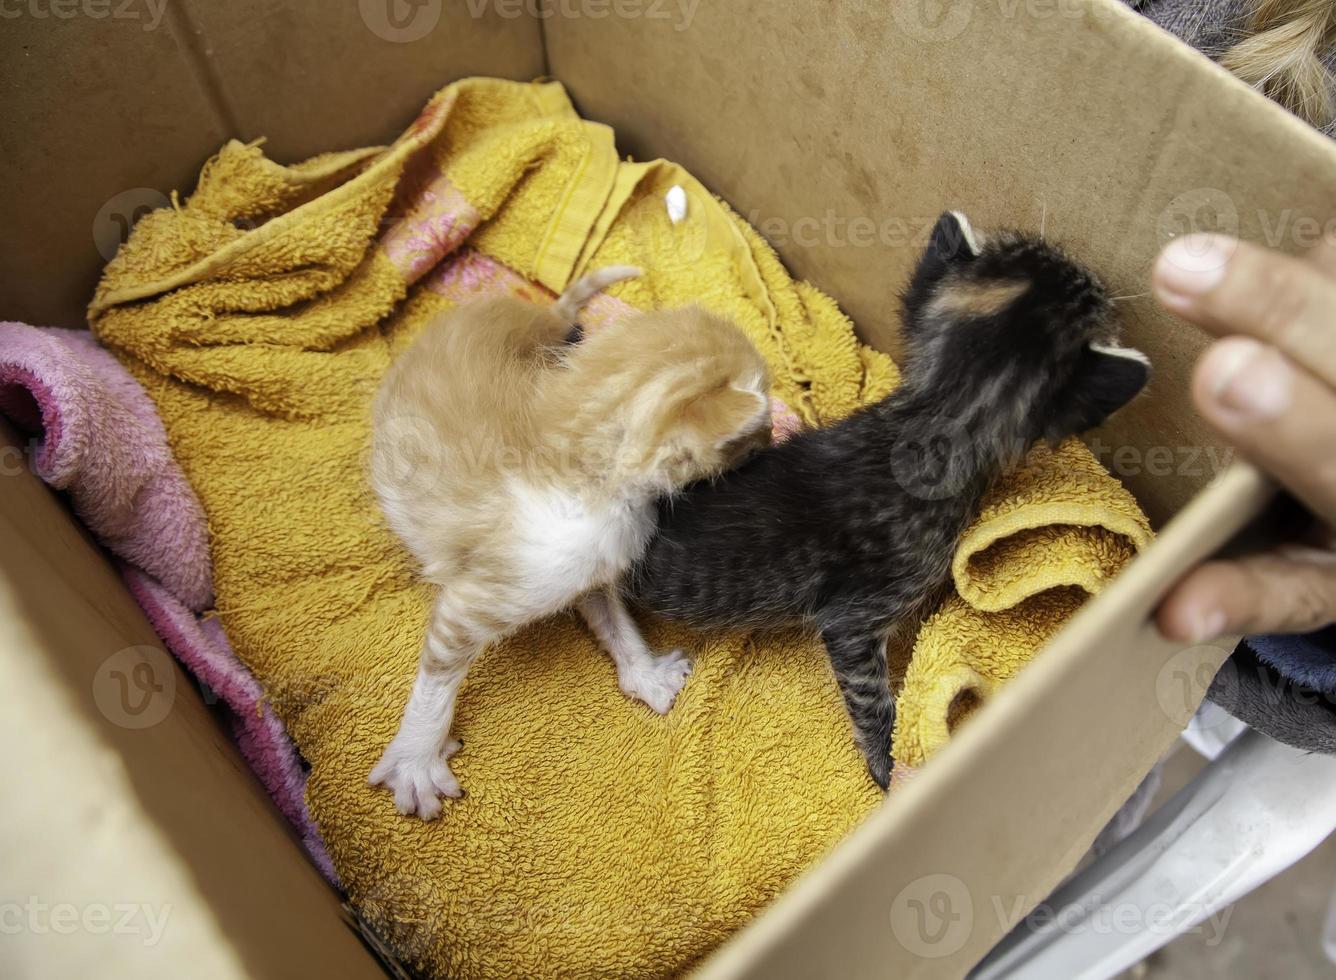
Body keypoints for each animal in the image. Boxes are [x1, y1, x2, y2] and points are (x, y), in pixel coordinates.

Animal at [368, 268, 774, 822]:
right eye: (759, 425)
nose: (774, 434)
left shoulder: (590, 570)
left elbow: (613, 621)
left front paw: (646, 675)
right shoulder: (478, 598)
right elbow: (436, 677)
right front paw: (416, 758)